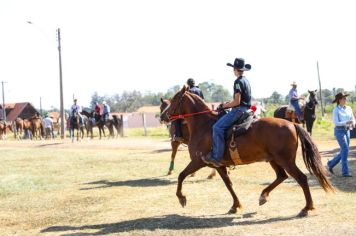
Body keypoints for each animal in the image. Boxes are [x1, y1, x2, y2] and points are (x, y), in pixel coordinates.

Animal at [167, 86, 334, 218]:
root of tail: (292, 124)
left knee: (301, 178)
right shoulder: (219, 166)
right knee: (281, 176)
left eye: (174, 99)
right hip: (274, 160)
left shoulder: (198, 161)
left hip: (286, 161)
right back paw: (263, 196)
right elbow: (229, 184)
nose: (165, 115)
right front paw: (235, 205)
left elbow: (181, 175)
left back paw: (307, 208)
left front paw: (181, 198)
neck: (204, 126)